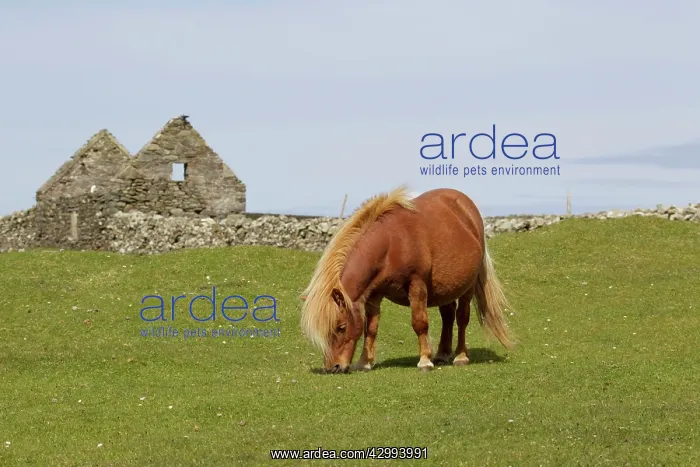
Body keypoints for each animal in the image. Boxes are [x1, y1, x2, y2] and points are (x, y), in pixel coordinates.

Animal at [299, 186, 516, 373]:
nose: (333, 367)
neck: (391, 244)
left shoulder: (416, 284)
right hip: (445, 289)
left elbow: (420, 323)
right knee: (448, 316)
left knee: (462, 318)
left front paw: (425, 361)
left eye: (341, 327)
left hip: (467, 287)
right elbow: (371, 328)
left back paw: (460, 356)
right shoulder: (374, 294)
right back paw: (442, 354)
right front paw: (364, 362)